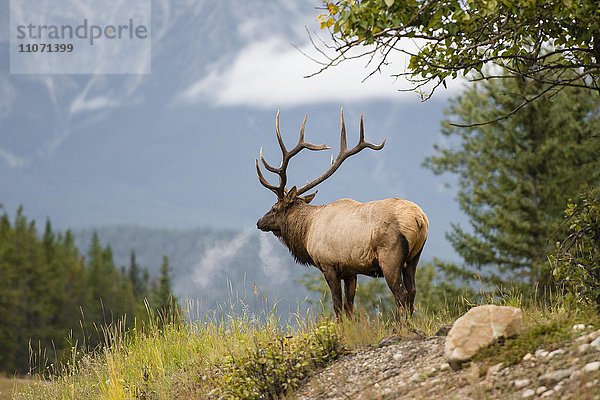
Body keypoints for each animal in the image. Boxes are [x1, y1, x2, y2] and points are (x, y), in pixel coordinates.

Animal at [255, 111, 428, 320]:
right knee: (412, 291)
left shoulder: (329, 265)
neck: (307, 231)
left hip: (390, 257)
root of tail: (419, 219)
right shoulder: (350, 271)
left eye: (274, 208)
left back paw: (399, 325)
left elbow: (337, 305)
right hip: (414, 257)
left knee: (400, 294)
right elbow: (349, 305)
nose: (259, 222)